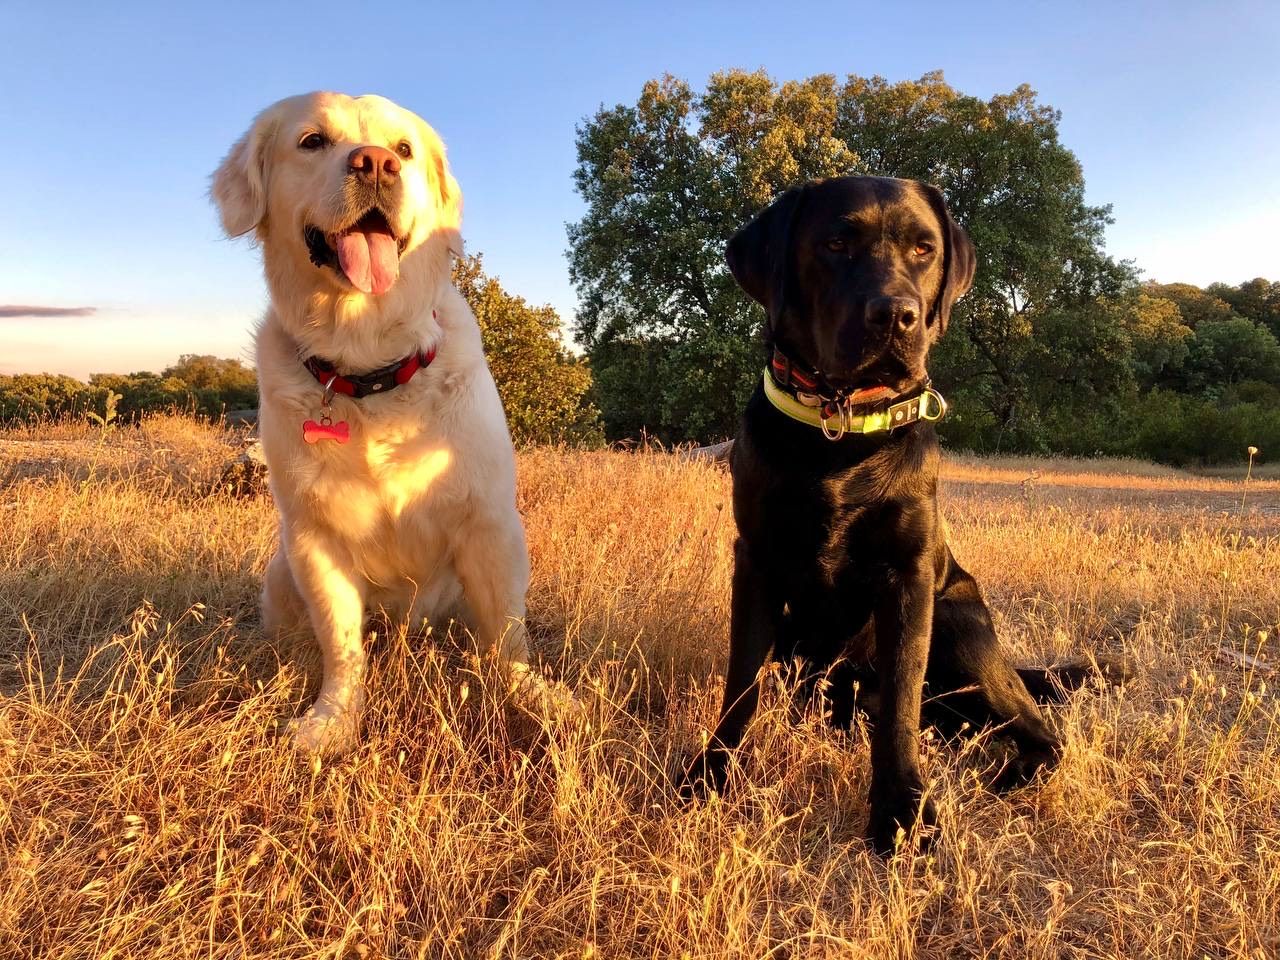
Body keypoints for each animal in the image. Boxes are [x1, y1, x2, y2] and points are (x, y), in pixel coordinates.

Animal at [213, 92, 540, 752]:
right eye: (312, 141)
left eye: (405, 149)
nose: (376, 164)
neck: (368, 368)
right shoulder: (315, 540)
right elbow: (342, 647)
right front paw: (332, 722)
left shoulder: (491, 525)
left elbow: (508, 638)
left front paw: (545, 700)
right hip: (281, 572)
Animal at [686, 176, 1126, 855]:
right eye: (835, 243)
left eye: (924, 248)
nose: (896, 315)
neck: (839, 431)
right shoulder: (756, 563)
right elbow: (742, 683)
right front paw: (711, 774)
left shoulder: (908, 578)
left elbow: (898, 703)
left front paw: (901, 810)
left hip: (960, 627)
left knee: (1040, 733)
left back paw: (1004, 774)